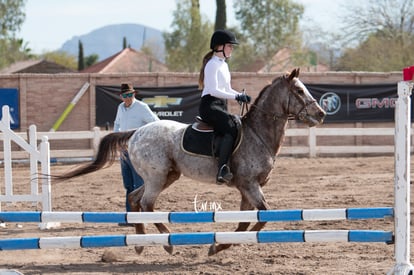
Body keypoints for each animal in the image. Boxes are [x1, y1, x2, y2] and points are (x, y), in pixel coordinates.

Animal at [55, 68, 326, 256]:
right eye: (299, 91)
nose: (321, 114)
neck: (258, 134)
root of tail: (136, 132)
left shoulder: (247, 188)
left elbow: (245, 221)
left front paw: (220, 246)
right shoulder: (249, 185)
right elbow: (262, 216)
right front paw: (220, 246)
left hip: (166, 176)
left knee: (134, 199)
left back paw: (140, 244)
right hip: (157, 177)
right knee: (146, 203)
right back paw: (167, 242)